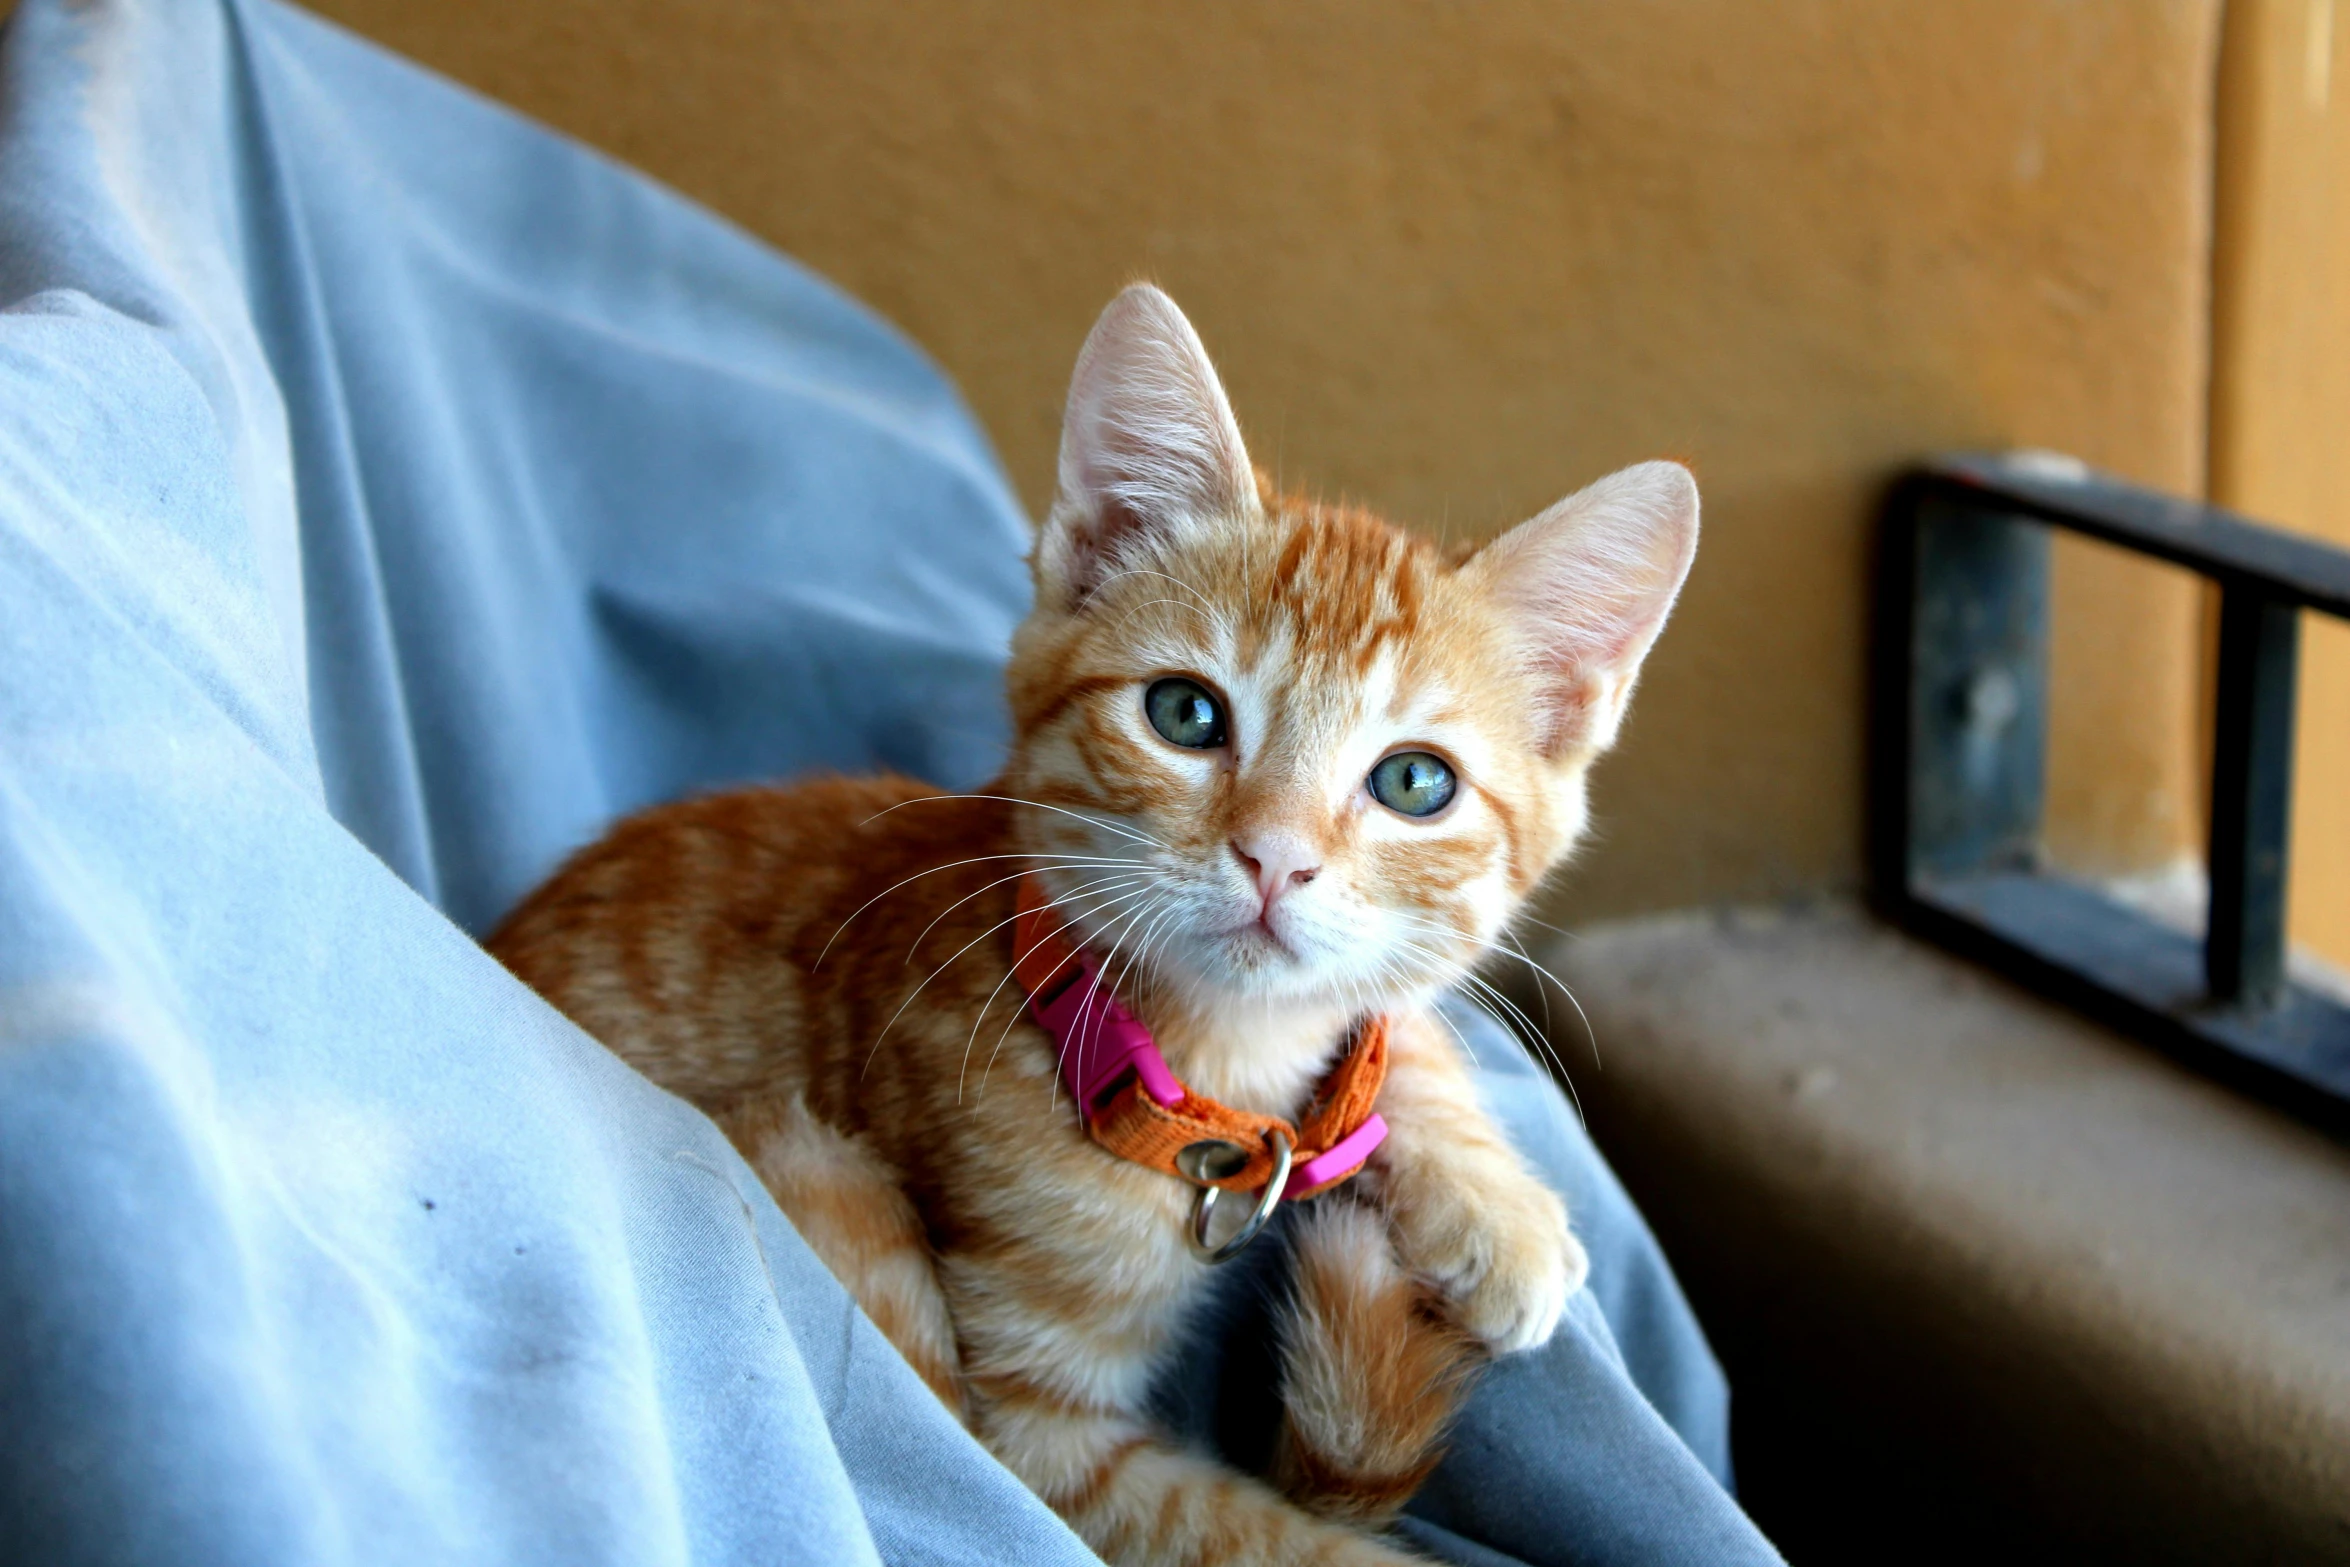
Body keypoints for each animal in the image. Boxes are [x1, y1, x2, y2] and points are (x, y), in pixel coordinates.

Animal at [495, 285, 1701, 1567]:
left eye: (1415, 783)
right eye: (1184, 713)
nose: (1275, 857)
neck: (1200, 1077)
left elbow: (1390, 1017)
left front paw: (1495, 1205)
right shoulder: (1038, 1440)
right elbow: (1258, 1536)